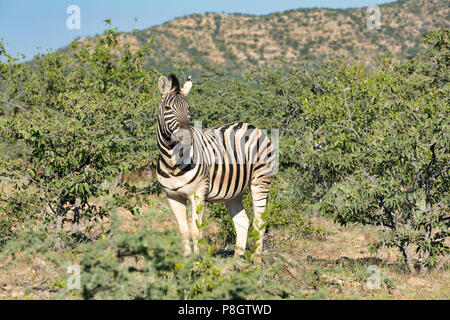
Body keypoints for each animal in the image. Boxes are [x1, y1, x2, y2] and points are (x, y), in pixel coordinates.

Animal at [156, 74, 274, 256]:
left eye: (188, 108)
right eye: (168, 108)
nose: (187, 137)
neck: (172, 161)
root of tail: (252, 126)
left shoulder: (198, 194)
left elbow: (196, 231)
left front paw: (197, 262)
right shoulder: (172, 196)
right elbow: (183, 231)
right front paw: (186, 261)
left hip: (261, 181)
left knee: (259, 222)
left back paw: (256, 260)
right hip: (234, 191)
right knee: (242, 222)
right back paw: (237, 261)